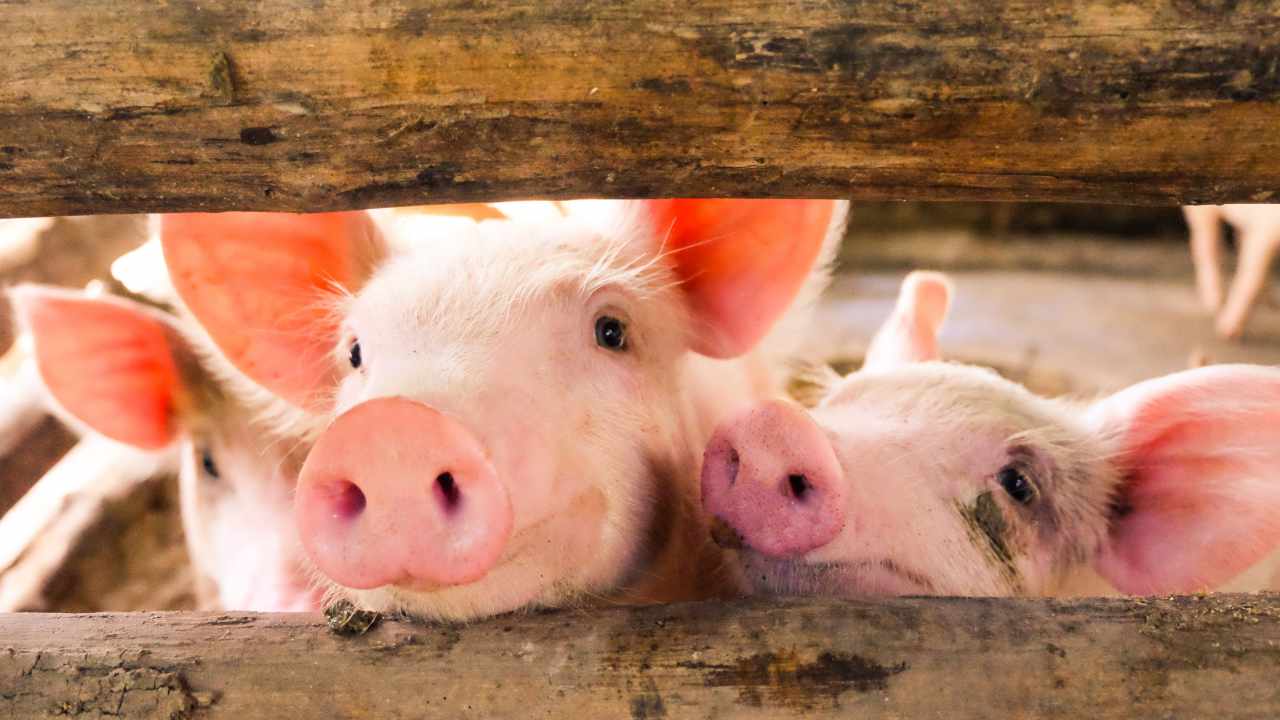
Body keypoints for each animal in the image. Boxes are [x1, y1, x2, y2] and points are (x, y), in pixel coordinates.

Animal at [1184, 204, 1280, 339]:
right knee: (1205, 245)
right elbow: (1252, 279)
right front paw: (1227, 334)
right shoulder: (1264, 231)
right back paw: (1215, 304)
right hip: (1203, 212)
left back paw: (1271, 302)